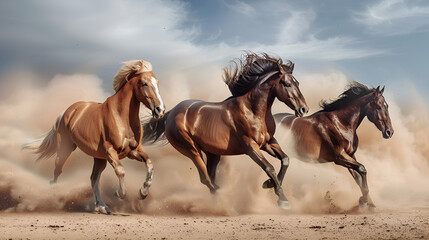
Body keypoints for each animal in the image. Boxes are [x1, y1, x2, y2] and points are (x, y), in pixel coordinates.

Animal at [24, 59, 166, 214]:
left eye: (157, 82)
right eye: (144, 83)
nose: (160, 110)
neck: (121, 117)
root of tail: (66, 112)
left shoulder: (133, 151)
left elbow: (149, 164)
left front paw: (142, 193)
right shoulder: (110, 150)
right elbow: (120, 171)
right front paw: (119, 193)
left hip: (99, 158)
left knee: (93, 178)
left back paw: (101, 206)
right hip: (65, 149)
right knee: (57, 171)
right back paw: (52, 197)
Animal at [143, 53, 308, 208]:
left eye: (297, 83)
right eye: (287, 84)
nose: (303, 109)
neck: (253, 111)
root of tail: (171, 113)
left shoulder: (268, 142)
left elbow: (285, 160)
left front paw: (269, 184)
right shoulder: (250, 146)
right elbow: (269, 167)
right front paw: (282, 199)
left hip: (213, 153)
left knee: (210, 177)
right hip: (191, 149)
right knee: (206, 179)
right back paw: (222, 200)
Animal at [270, 82, 392, 210]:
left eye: (387, 106)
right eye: (378, 107)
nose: (389, 132)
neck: (340, 123)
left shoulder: (350, 156)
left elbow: (358, 178)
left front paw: (369, 203)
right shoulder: (339, 157)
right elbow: (362, 169)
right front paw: (364, 202)